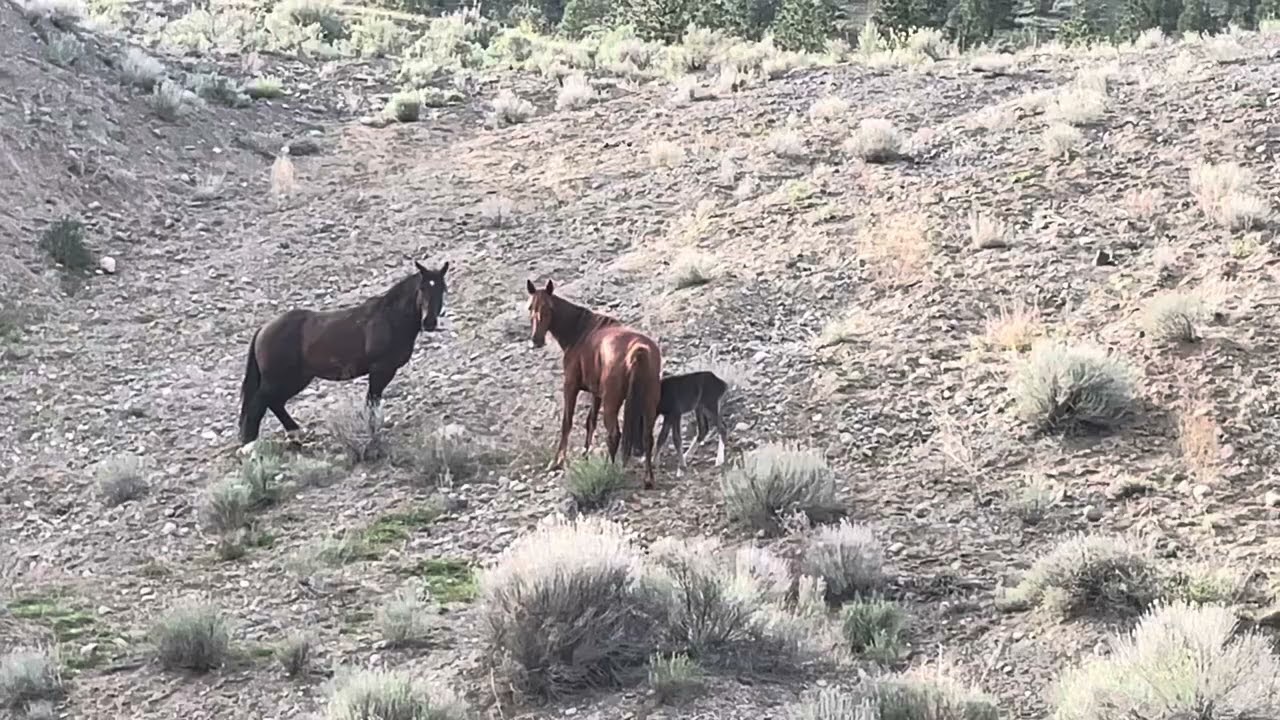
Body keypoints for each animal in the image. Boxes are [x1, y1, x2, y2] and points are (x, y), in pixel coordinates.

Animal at [237, 260, 450, 446]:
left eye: (442, 289)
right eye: (422, 288)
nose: (429, 322)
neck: (390, 318)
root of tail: (264, 329)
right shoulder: (381, 370)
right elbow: (372, 401)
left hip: (297, 379)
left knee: (275, 403)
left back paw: (295, 434)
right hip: (279, 379)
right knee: (260, 404)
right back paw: (251, 444)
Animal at [525, 278, 663, 488]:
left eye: (549, 308)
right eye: (531, 308)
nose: (536, 341)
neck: (581, 331)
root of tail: (639, 350)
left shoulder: (571, 387)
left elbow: (567, 422)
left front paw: (557, 461)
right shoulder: (596, 393)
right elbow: (590, 422)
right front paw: (585, 456)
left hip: (612, 402)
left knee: (614, 435)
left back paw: (609, 469)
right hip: (648, 402)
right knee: (648, 437)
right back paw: (648, 479)